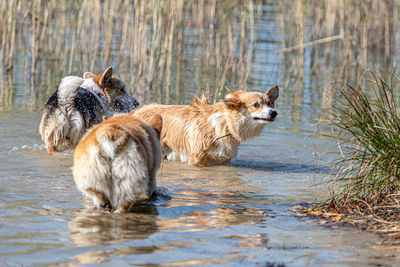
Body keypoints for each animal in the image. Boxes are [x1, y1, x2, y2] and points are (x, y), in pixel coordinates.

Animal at [134, 86, 278, 168]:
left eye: (270, 103)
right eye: (256, 105)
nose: (274, 113)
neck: (223, 125)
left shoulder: (223, 160)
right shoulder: (197, 159)